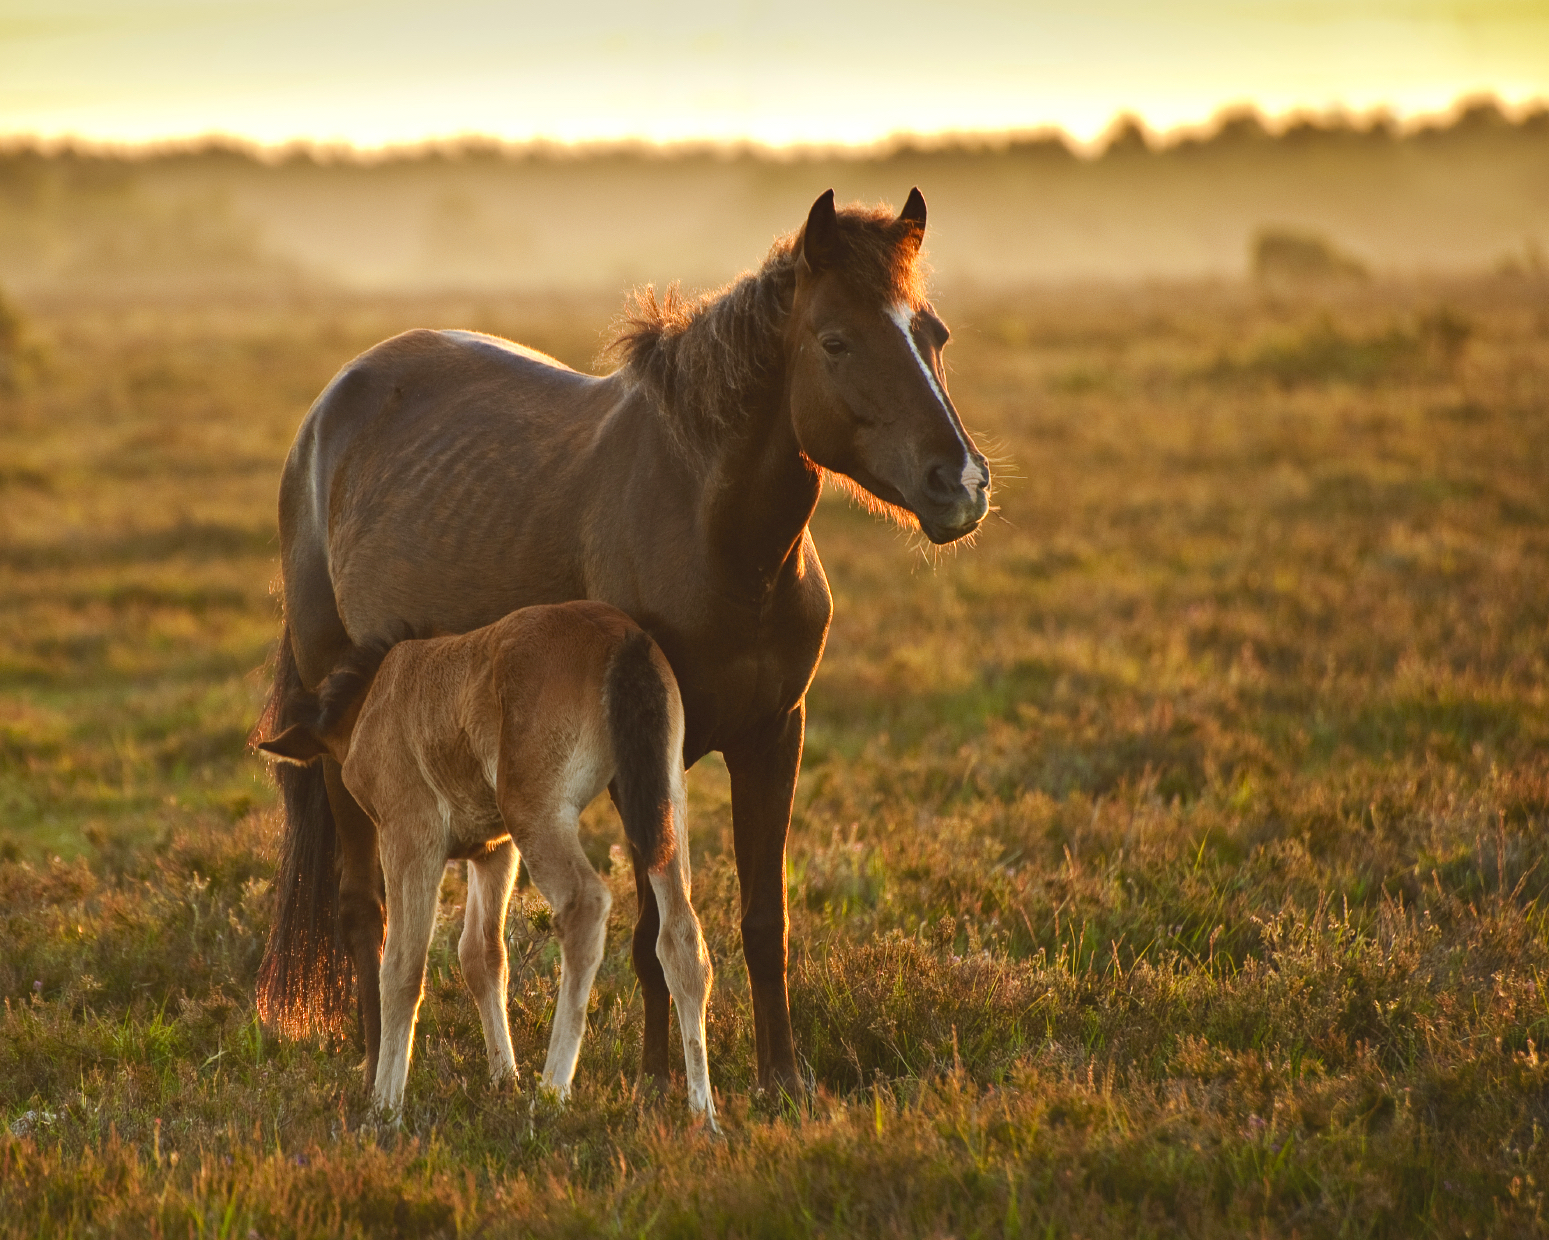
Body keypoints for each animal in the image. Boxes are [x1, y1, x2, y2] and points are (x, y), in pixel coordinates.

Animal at [258, 601, 717, 1125]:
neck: (379, 693)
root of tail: (622, 637)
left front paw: (385, 1105)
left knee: (586, 904)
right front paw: (505, 1078)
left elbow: (402, 965)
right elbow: (481, 955)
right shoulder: (493, 850)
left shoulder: (410, 836)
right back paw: (704, 1113)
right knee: (681, 937)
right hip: (662, 799)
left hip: (537, 811)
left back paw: (552, 1091)